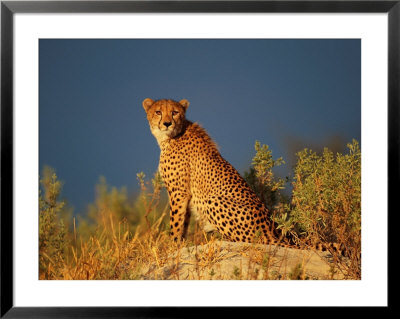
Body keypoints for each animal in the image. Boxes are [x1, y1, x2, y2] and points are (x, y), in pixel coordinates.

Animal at [143, 98, 344, 255]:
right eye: (158, 112)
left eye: (175, 112)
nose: (167, 123)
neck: (172, 136)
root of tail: (273, 232)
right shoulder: (183, 194)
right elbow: (183, 221)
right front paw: (180, 245)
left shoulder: (179, 192)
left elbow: (176, 222)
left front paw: (172, 245)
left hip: (213, 200)